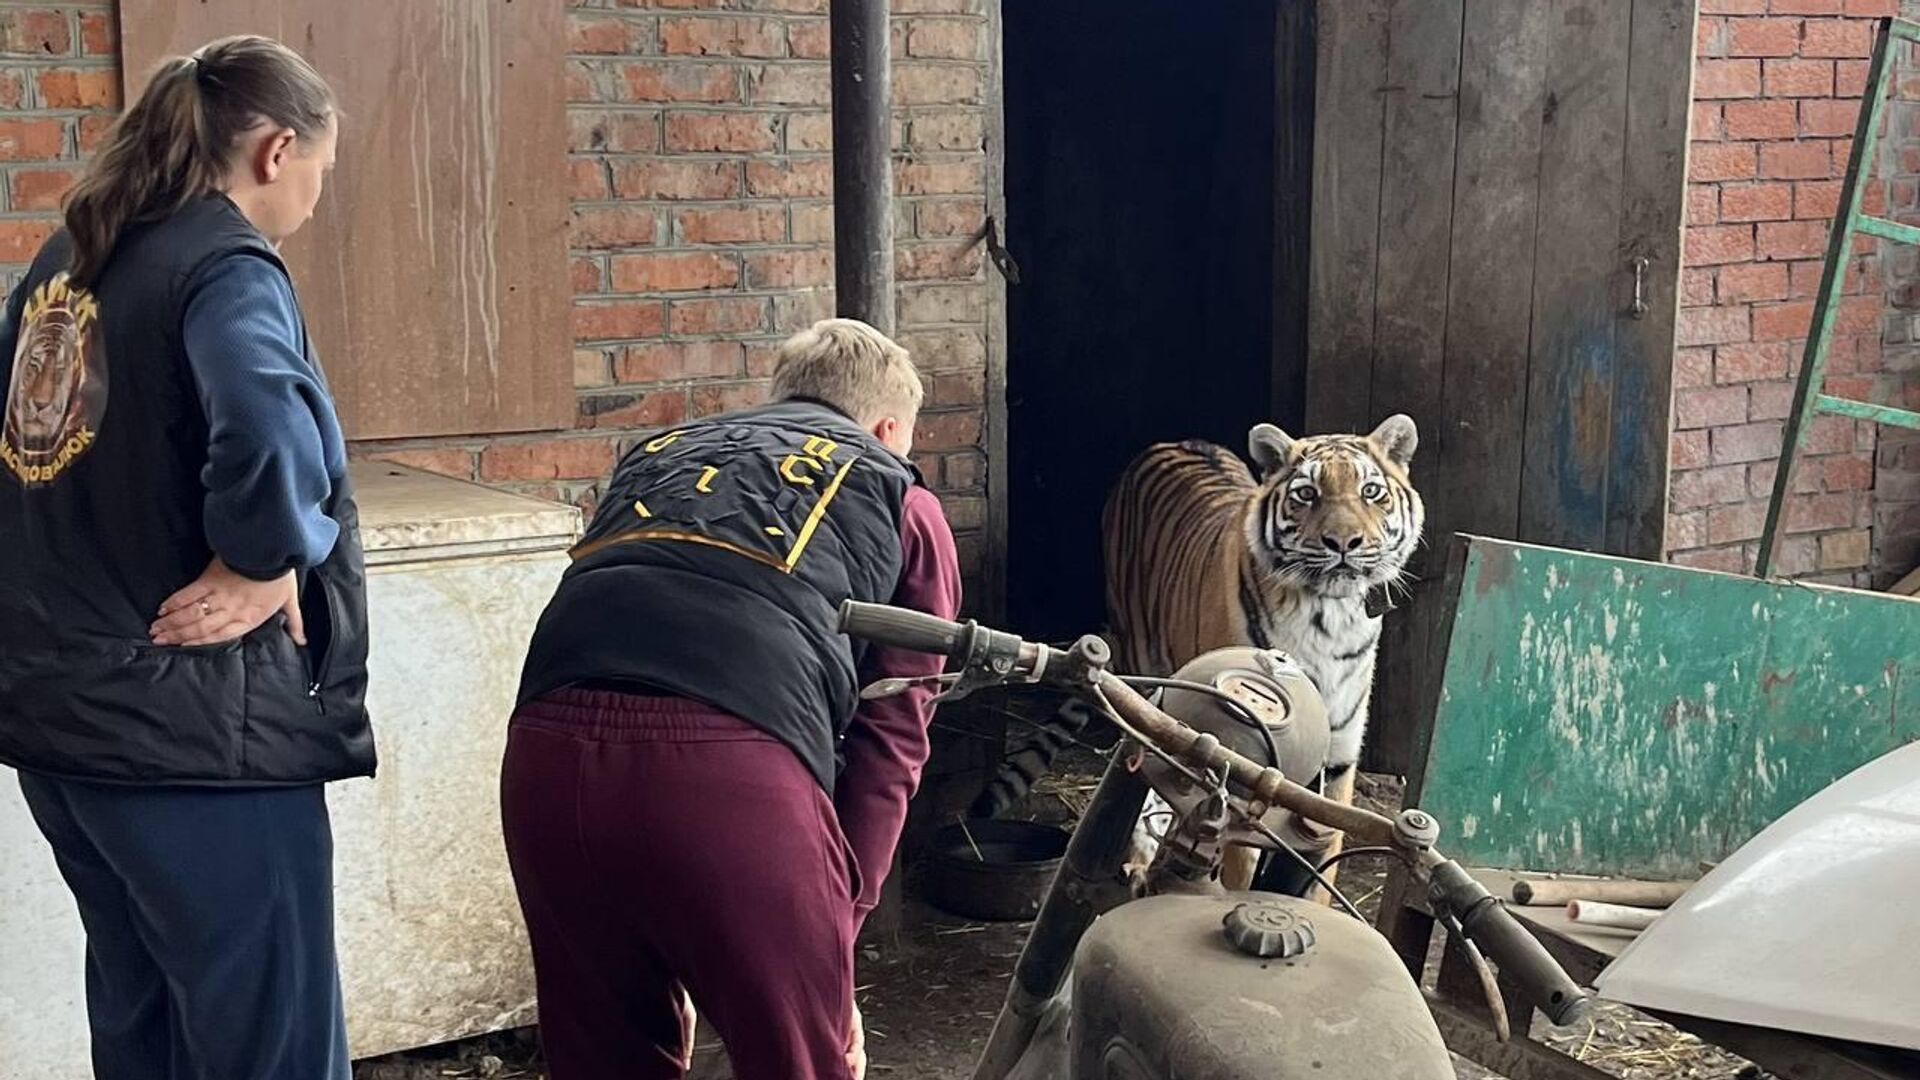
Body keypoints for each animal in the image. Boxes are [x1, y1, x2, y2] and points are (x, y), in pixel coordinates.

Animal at [967, 417, 1420, 887]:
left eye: (1371, 491)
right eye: (1307, 494)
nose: (1344, 542)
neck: (1329, 619)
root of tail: (1175, 440)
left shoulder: (1338, 764)